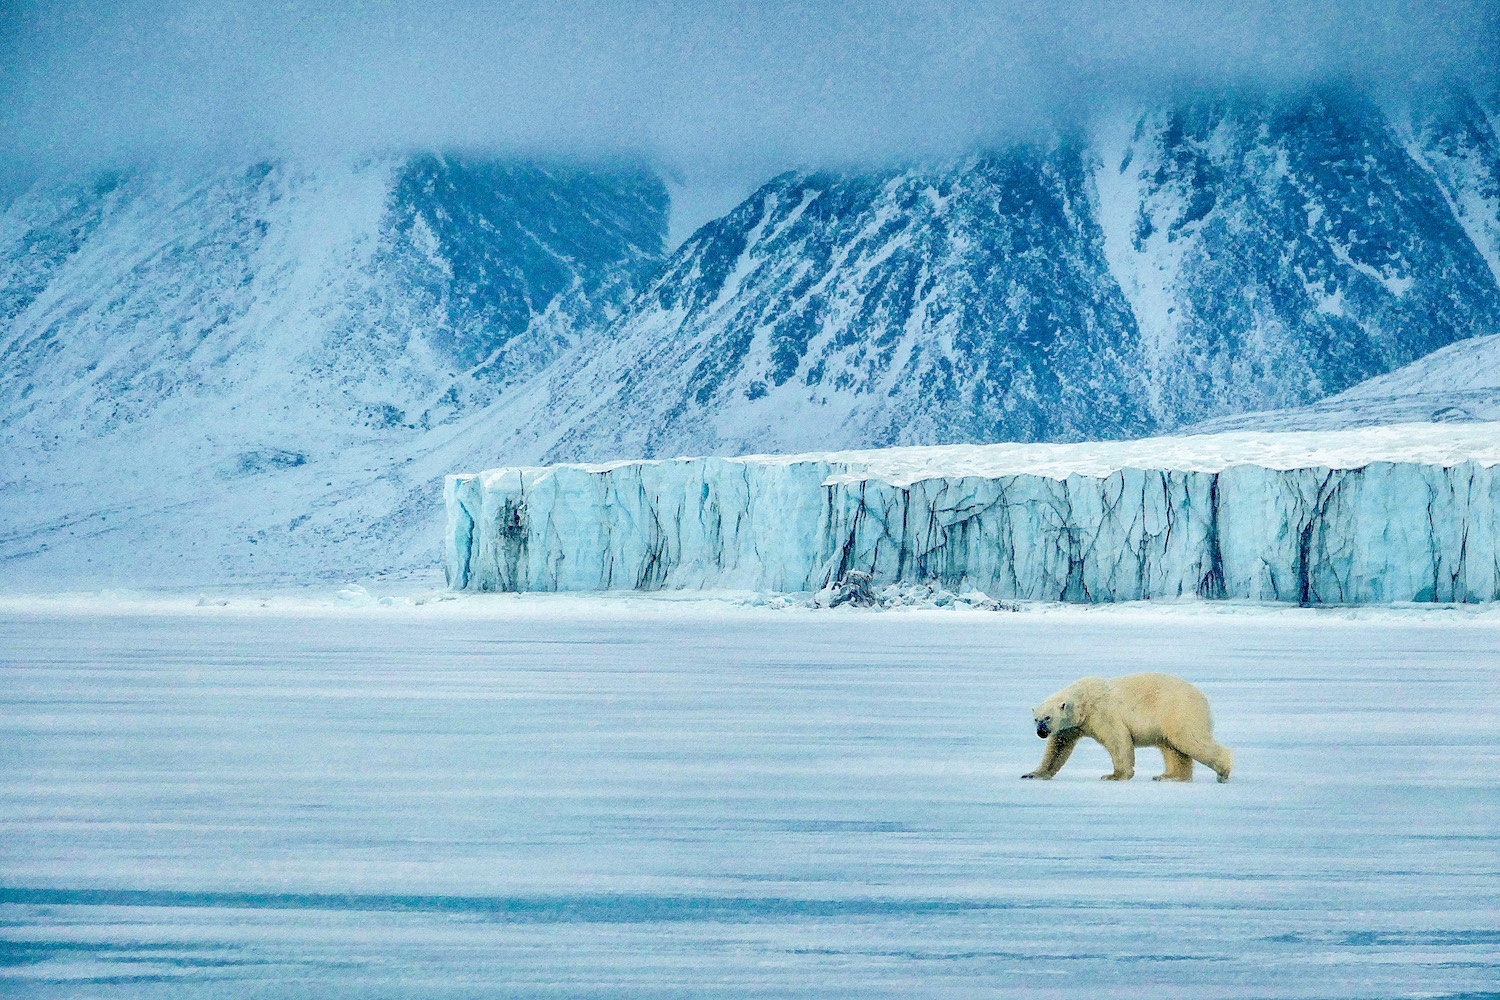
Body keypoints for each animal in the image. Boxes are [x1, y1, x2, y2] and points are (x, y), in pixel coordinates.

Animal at [1021, 673, 1233, 782]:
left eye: (1048, 717)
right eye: (1036, 719)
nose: (1041, 732)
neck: (1083, 700)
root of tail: (1202, 697)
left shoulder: (1102, 713)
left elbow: (1117, 739)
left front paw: (1114, 775)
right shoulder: (1071, 727)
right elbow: (1058, 748)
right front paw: (1032, 774)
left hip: (1178, 711)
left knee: (1189, 739)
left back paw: (1223, 772)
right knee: (1173, 748)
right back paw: (1168, 776)